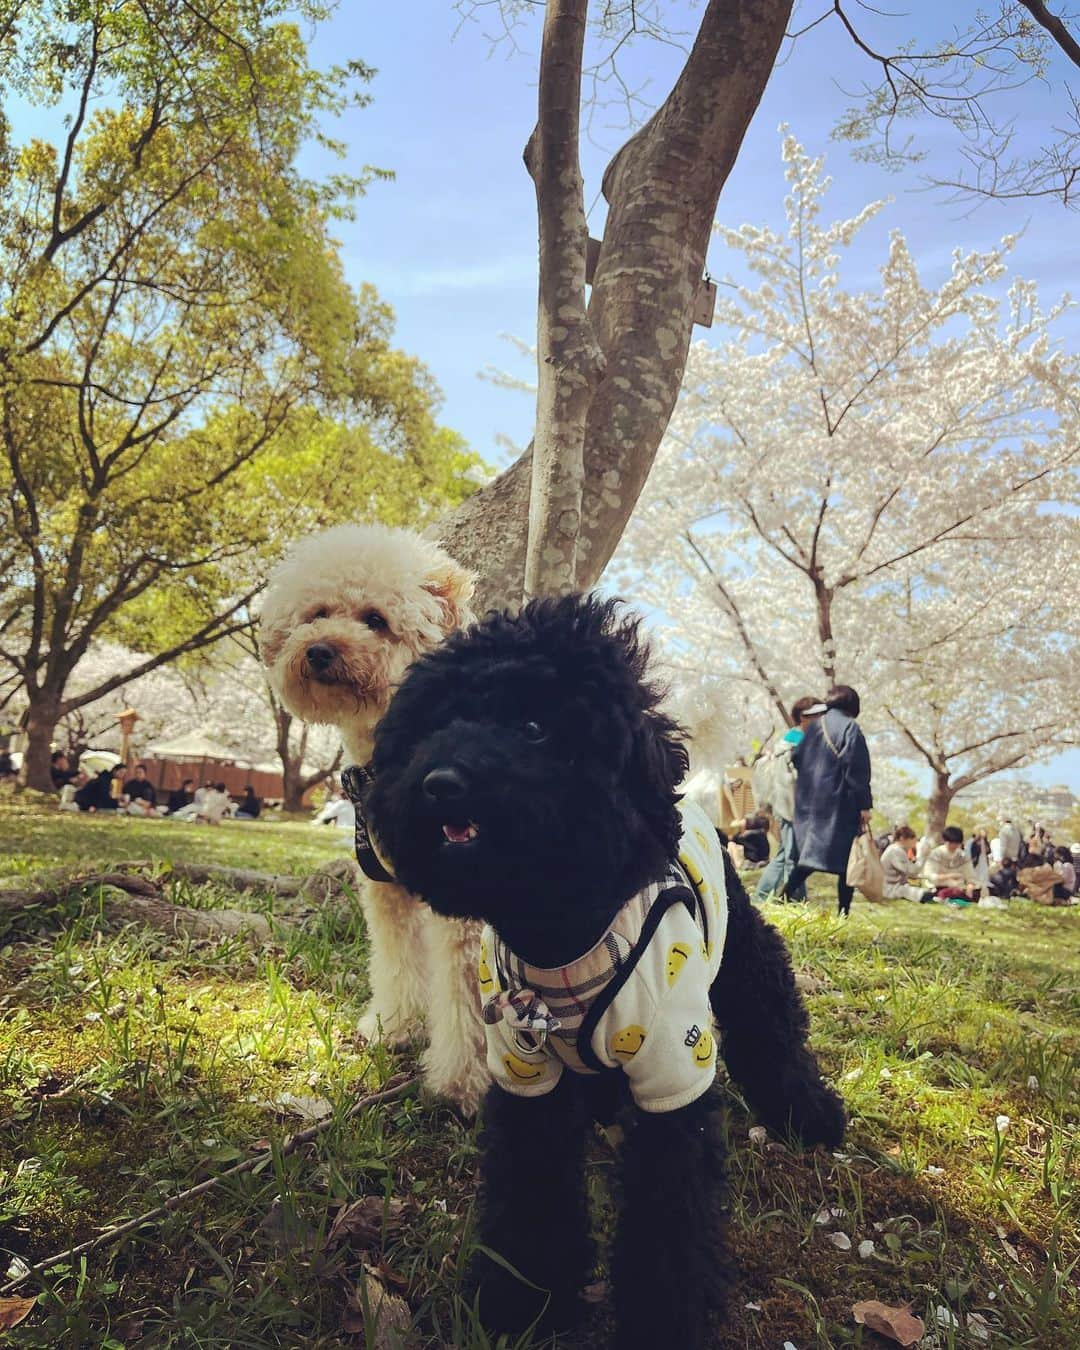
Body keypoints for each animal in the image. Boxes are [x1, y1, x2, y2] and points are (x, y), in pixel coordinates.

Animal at [367, 596, 847, 1350]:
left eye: (535, 728)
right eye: (435, 724)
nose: (439, 782)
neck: (562, 940)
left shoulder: (674, 1075)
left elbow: (668, 1223)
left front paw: (663, 1321)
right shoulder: (524, 1076)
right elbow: (532, 1199)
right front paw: (521, 1305)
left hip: (744, 958)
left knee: (771, 1026)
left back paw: (810, 1113)